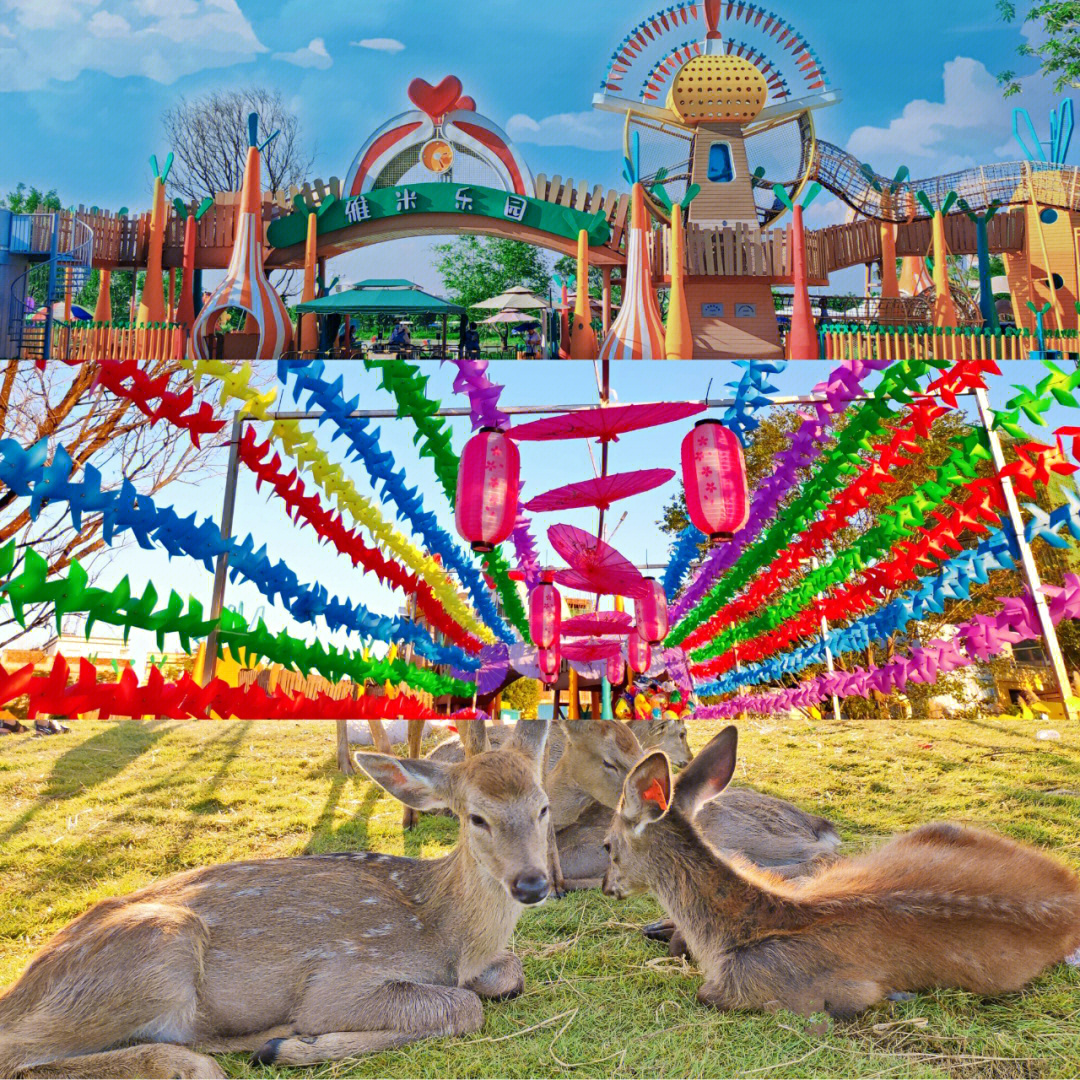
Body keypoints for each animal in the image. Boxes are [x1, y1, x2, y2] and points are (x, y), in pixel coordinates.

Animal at [0, 717, 552, 1071]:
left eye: (544, 807)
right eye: (476, 816)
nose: (533, 883)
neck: (446, 933)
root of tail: (17, 992)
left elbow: (510, 973)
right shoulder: (344, 975)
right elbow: (463, 1007)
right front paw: (299, 1039)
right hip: (158, 943)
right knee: (19, 1054)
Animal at [600, 730, 1080, 1015]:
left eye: (606, 846)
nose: (606, 887)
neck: (728, 934)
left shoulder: (798, 990)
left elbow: (707, 993)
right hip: (941, 827)